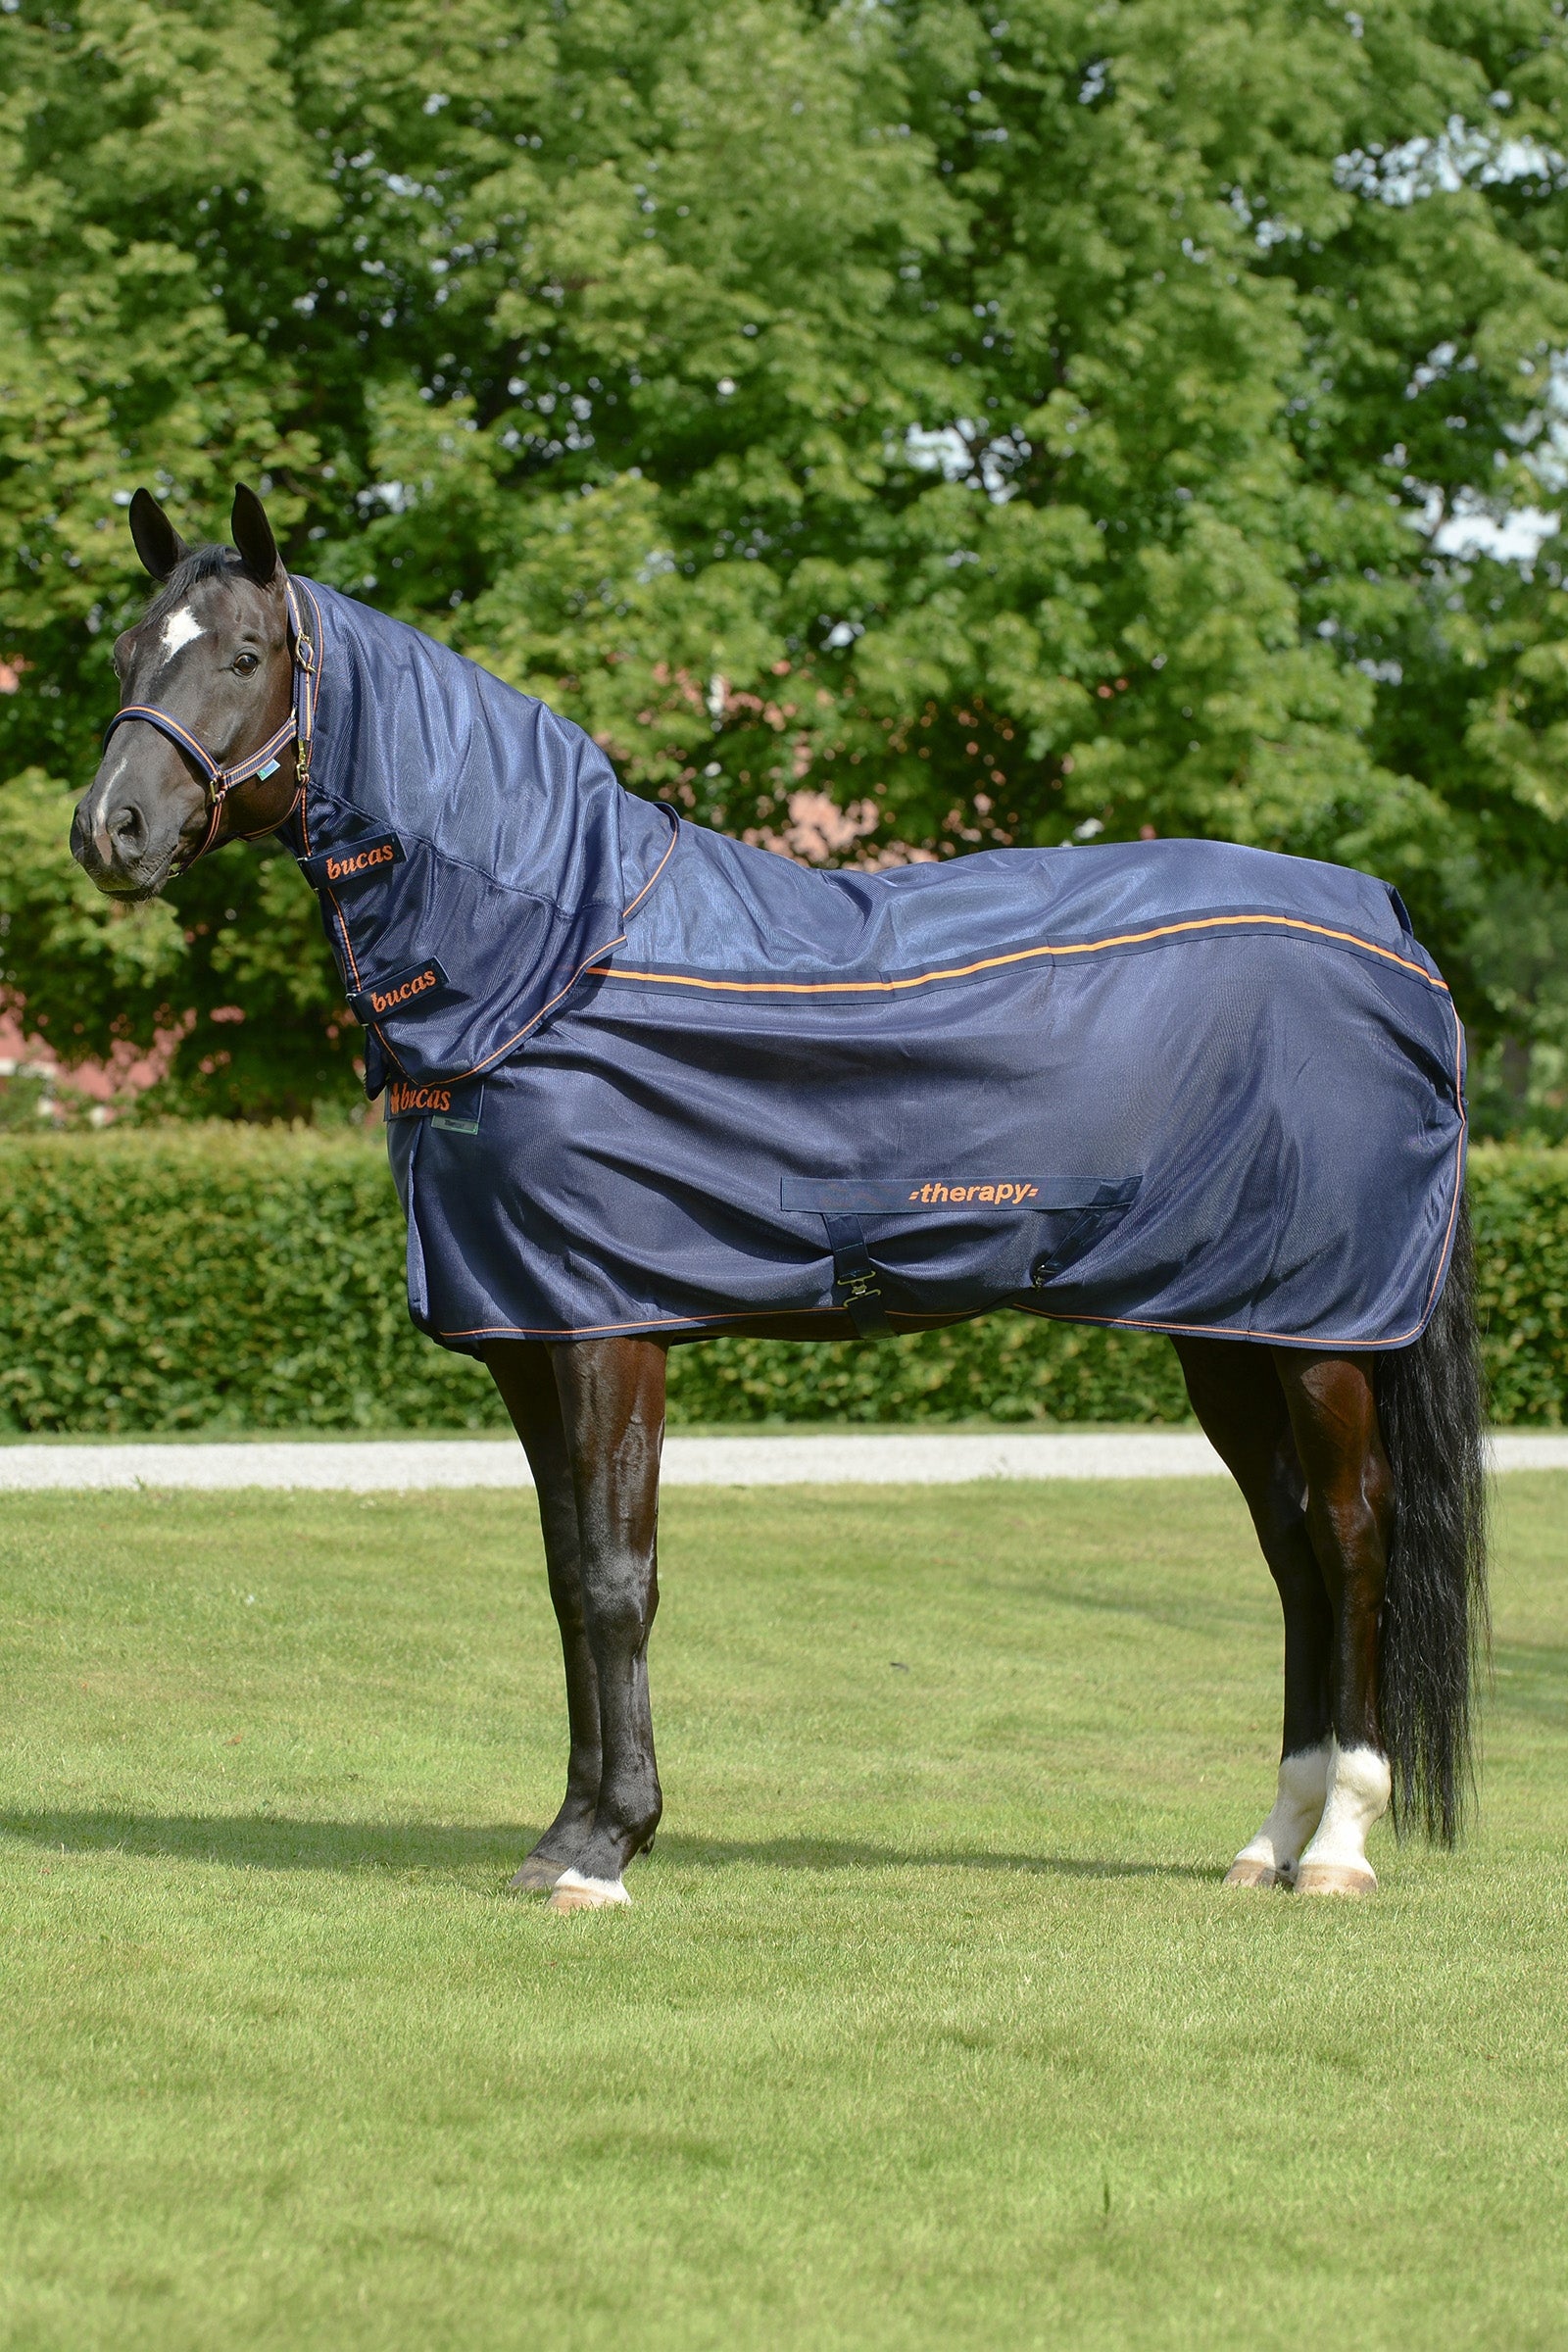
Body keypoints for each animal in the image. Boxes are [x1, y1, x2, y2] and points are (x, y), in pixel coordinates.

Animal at [71, 485, 1488, 1913]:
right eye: (128, 652)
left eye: (244, 654)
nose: (109, 830)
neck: (556, 958)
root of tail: (1398, 940)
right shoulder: (532, 1337)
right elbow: (563, 1579)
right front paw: (564, 1836)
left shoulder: (612, 1332)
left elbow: (616, 1579)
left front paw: (610, 1848)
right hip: (1229, 1334)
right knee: (1292, 1551)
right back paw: (1273, 1838)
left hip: (1321, 1343)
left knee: (1351, 1544)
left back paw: (1342, 1843)